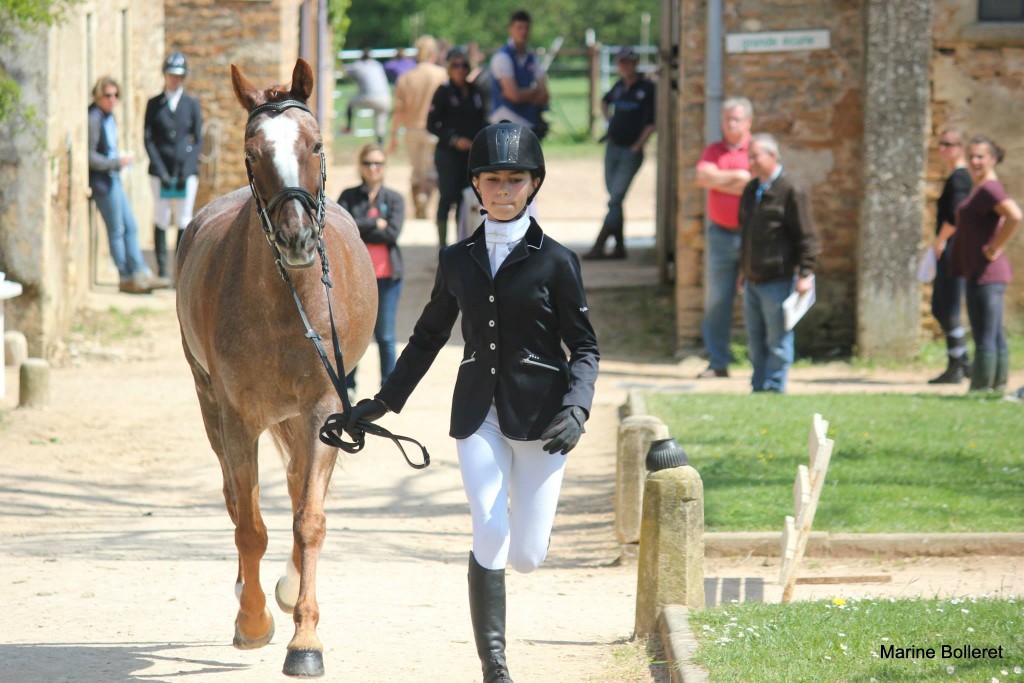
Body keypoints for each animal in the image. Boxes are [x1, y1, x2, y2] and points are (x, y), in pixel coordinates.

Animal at [176, 60, 376, 679]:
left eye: (315, 144)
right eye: (252, 149)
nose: (296, 238)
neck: (286, 300)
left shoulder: (323, 413)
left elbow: (308, 520)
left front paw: (305, 639)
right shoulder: (236, 418)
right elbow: (249, 523)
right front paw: (253, 620)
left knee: (295, 488)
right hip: (211, 408)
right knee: (239, 500)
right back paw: (253, 595)